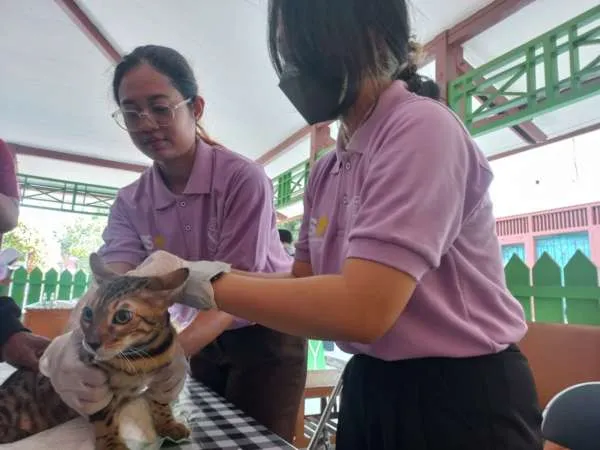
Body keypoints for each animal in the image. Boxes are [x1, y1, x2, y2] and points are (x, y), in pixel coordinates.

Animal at [0, 255, 190, 448]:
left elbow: (161, 403)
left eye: (122, 316)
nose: (91, 343)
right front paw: (112, 444)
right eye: (88, 313)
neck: (139, 356)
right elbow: (104, 418)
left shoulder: (163, 378)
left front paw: (168, 424)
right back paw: (18, 433)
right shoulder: (95, 388)